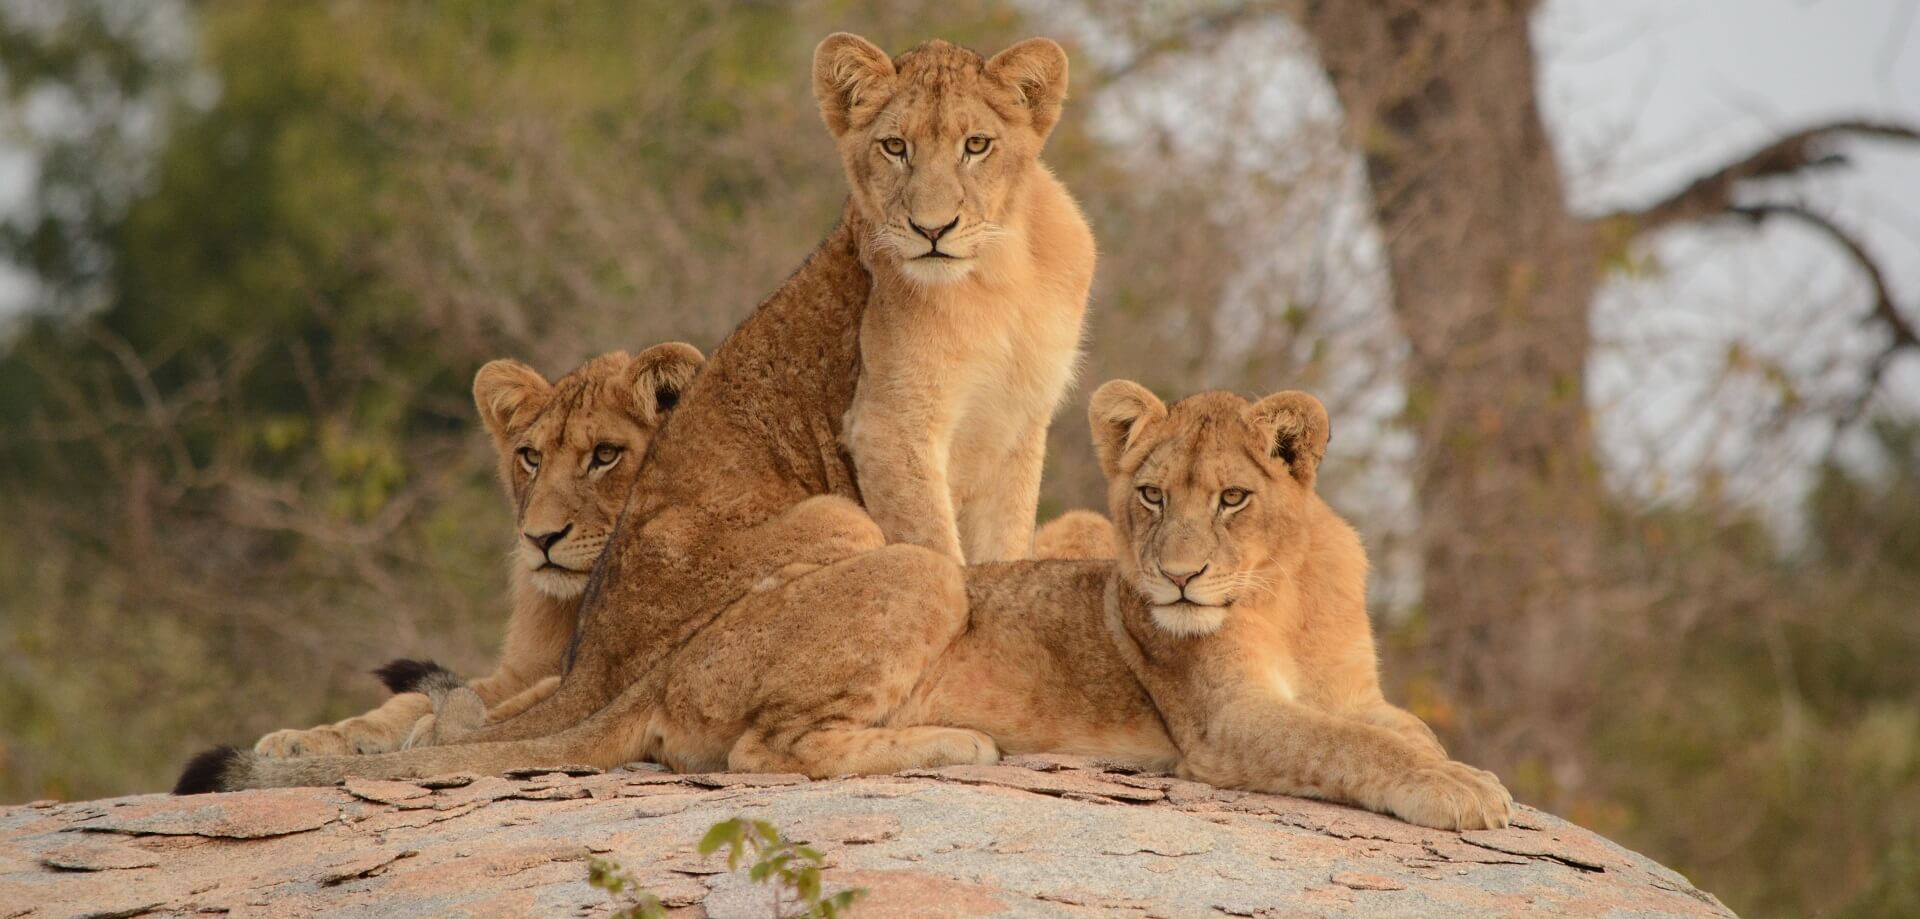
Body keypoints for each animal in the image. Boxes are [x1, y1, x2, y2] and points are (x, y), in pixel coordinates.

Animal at [249, 345, 703, 758]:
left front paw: (437, 732)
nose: (540, 539)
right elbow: (424, 698)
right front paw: (305, 740)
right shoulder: (520, 671)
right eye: (531, 457)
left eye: (605, 454)